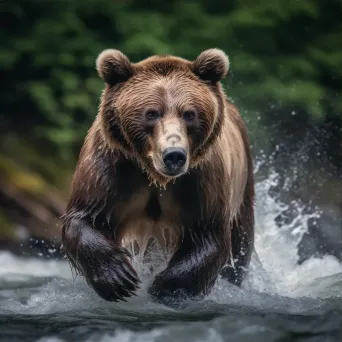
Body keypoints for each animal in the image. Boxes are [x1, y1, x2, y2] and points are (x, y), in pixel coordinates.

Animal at [60, 47, 254, 304]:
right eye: (151, 113)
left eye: (189, 114)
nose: (174, 155)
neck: (155, 176)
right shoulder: (113, 168)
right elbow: (85, 217)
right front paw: (120, 279)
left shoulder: (201, 180)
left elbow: (207, 235)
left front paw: (164, 288)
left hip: (243, 189)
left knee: (240, 248)